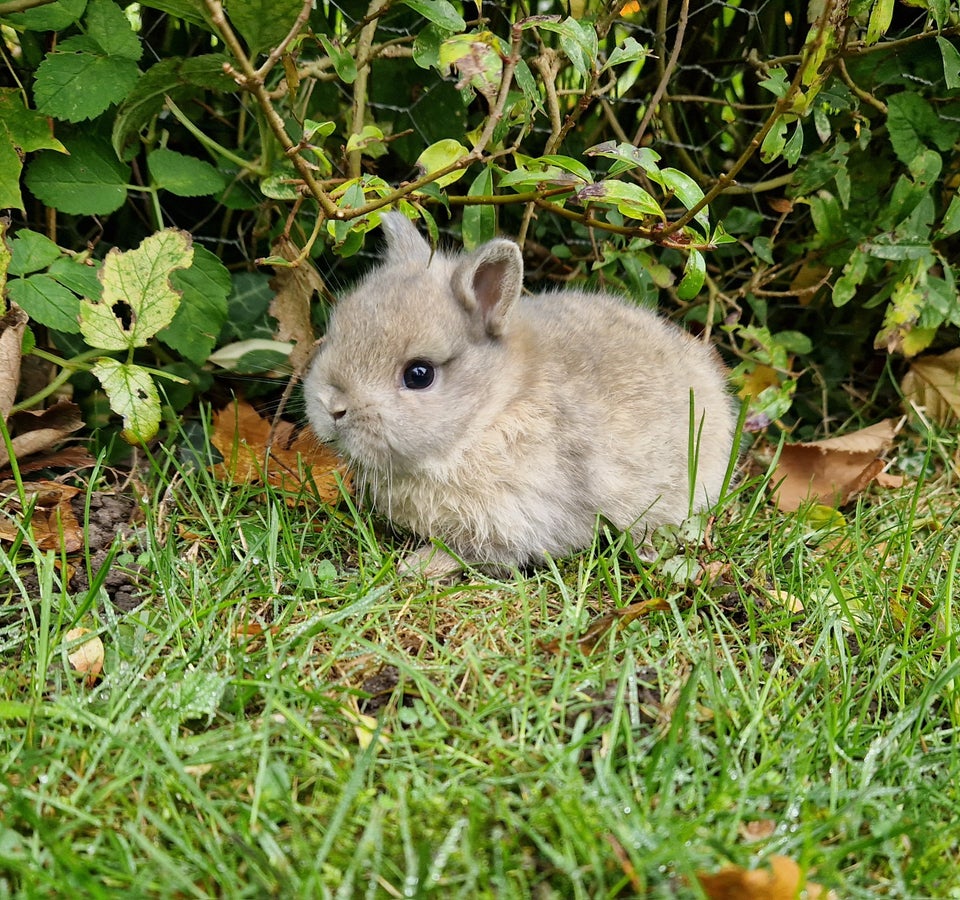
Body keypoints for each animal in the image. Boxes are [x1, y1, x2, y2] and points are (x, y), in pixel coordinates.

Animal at [304, 213, 740, 576]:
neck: (490, 411)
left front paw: (419, 567)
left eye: (419, 374)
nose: (333, 408)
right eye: (336, 332)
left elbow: (472, 550)